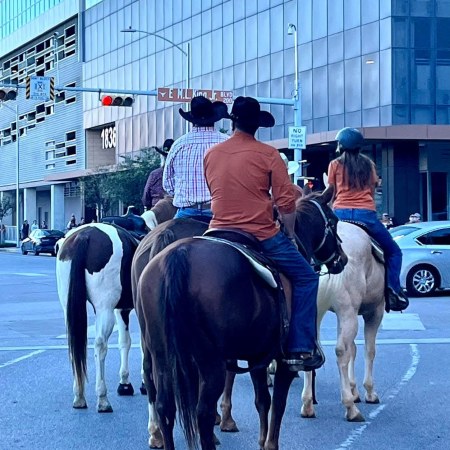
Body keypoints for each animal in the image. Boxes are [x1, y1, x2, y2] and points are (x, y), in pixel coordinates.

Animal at [134, 190, 347, 450]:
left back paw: (158, 435)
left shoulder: (257, 354)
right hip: (209, 360)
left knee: (164, 402)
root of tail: (177, 254)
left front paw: (258, 439)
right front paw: (265, 441)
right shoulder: (281, 357)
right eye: (334, 221)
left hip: (161, 353)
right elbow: (277, 403)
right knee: (202, 412)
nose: (342, 259)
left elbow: (262, 400)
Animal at [300, 221, 385, 422]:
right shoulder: (374, 312)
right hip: (349, 313)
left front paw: (354, 390)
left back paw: (307, 405)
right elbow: (369, 350)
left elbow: (353, 350)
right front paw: (368, 392)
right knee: (341, 352)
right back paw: (350, 408)